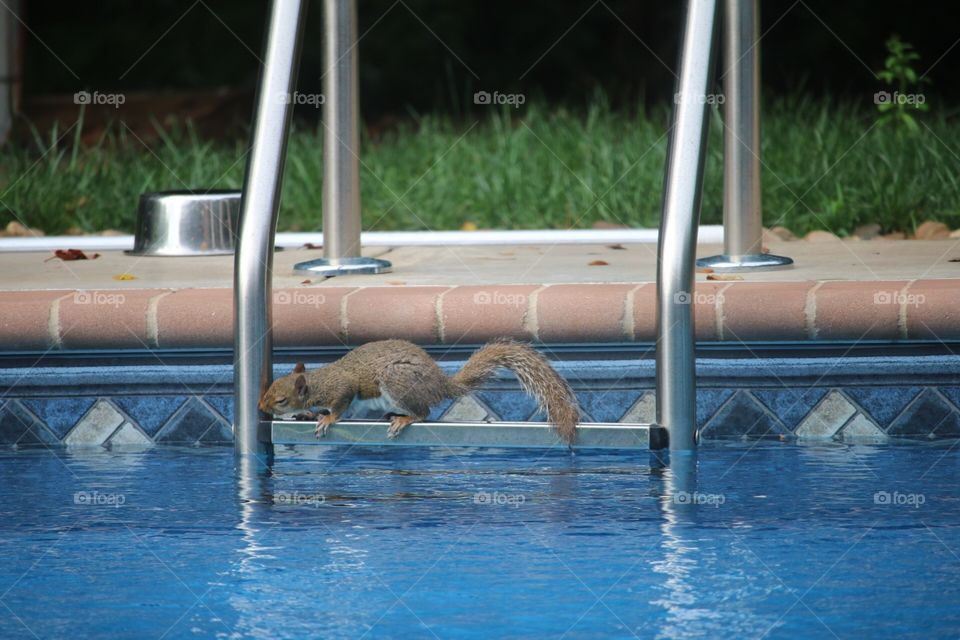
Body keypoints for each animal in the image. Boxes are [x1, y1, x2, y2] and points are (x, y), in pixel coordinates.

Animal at [258, 339, 580, 444]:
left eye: (281, 400)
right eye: (271, 387)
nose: (261, 408)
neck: (319, 381)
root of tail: (440, 383)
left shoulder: (343, 390)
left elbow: (339, 407)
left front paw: (326, 419)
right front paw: (307, 415)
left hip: (397, 381)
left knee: (423, 412)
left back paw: (404, 418)